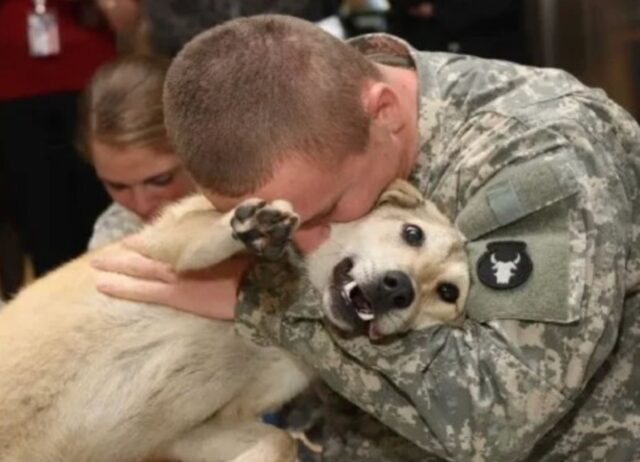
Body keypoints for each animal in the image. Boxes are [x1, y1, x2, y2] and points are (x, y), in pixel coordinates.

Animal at [0, 180, 470, 462]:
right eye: (412, 233)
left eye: (448, 293)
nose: (398, 289)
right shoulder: (161, 244)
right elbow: (201, 238)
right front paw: (253, 228)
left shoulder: (194, 431)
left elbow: (279, 438)